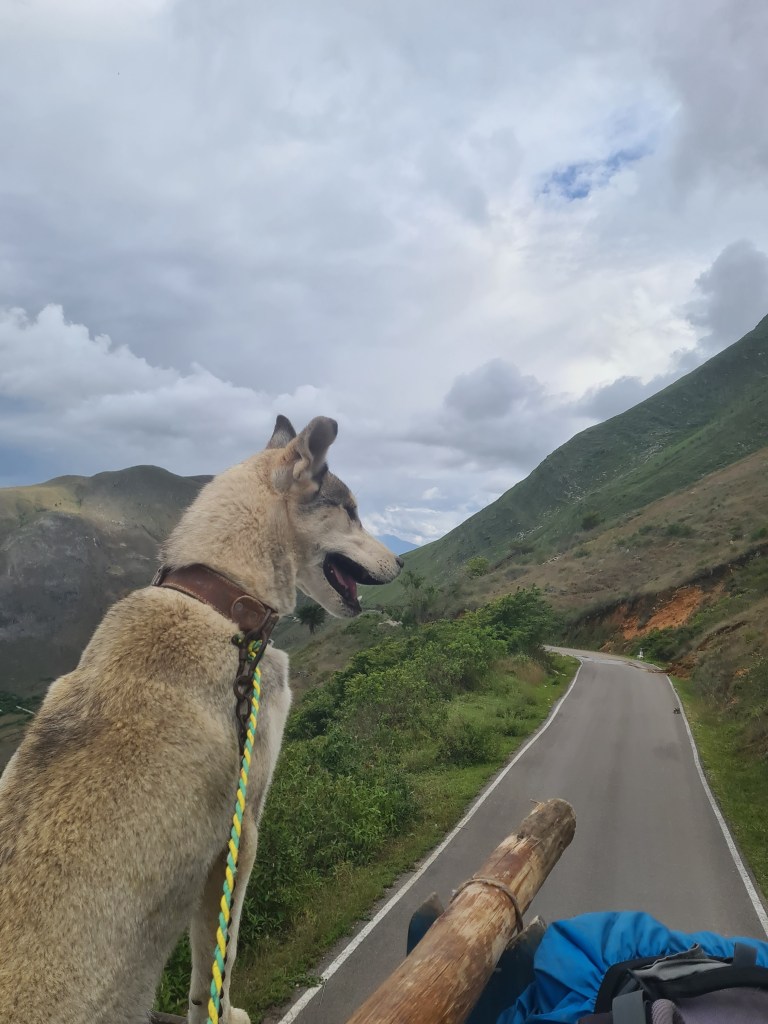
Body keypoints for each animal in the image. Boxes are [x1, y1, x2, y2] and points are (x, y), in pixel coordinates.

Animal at [0, 415, 402, 1024]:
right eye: (350, 510)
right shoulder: (242, 829)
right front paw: (222, 1011)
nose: (402, 562)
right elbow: (220, 957)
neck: (222, 600)